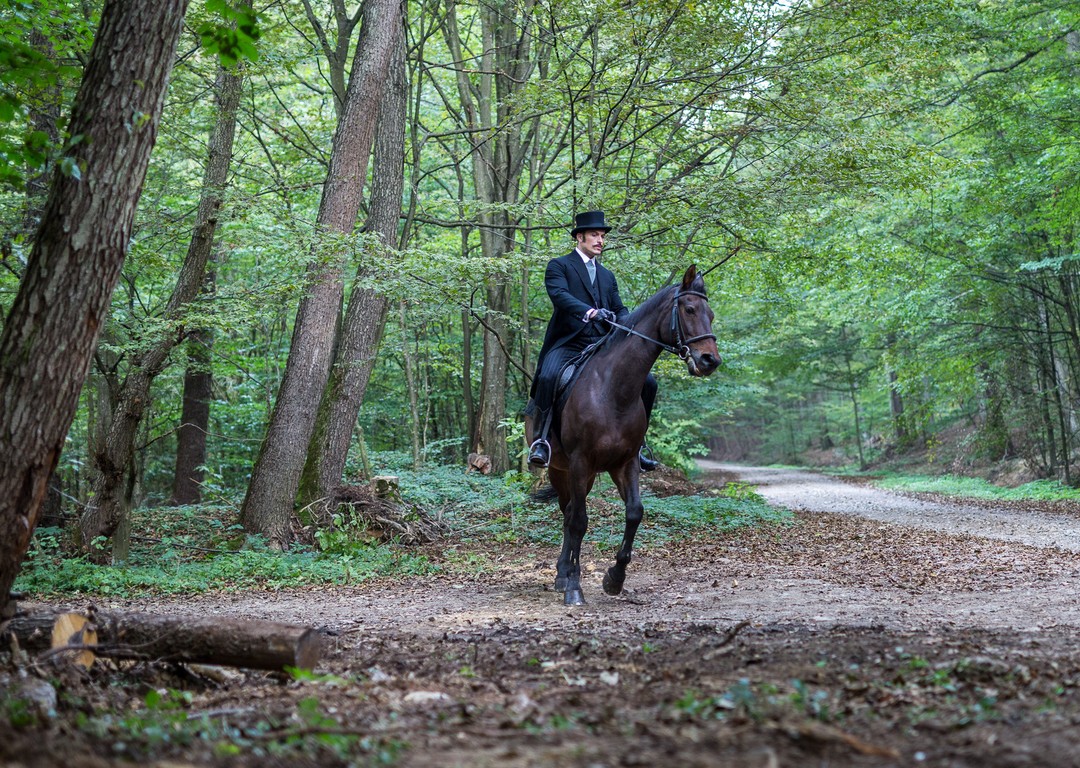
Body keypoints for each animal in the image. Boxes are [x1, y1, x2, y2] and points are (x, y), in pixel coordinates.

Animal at [527, 264, 721, 605]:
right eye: (689, 309)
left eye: (710, 313)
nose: (710, 360)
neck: (613, 389)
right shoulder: (580, 461)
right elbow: (580, 522)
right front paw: (576, 588)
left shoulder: (626, 462)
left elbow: (634, 513)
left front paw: (614, 578)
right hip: (560, 469)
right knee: (569, 514)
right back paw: (565, 576)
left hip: (587, 475)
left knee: (569, 514)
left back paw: (565, 573)